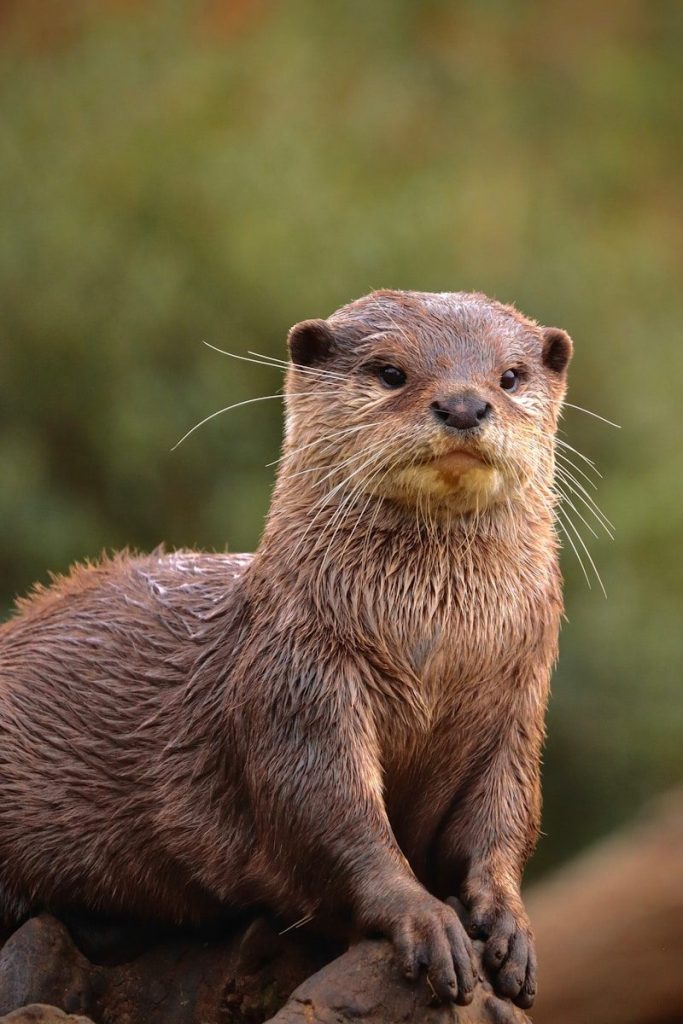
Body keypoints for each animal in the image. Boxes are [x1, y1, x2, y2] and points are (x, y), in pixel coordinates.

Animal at [0, 290, 572, 1009]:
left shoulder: (515, 708)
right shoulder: (298, 679)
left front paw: (508, 923)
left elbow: (503, 820)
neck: (434, 649)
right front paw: (426, 919)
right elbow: (328, 814)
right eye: (391, 372)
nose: (465, 405)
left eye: (509, 376)